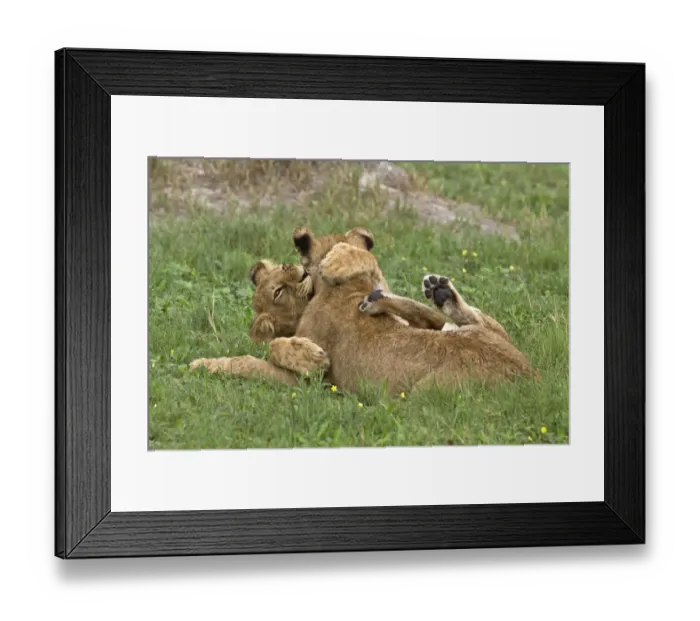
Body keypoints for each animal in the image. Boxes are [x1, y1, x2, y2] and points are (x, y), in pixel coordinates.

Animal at [190, 226, 536, 395]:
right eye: (276, 288)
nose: (291, 269)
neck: (345, 291)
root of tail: (531, 375)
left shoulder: (309, 385)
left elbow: (253, 359)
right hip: (472, 333)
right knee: (475, 321)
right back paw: (430, 293)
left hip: (422, 397)